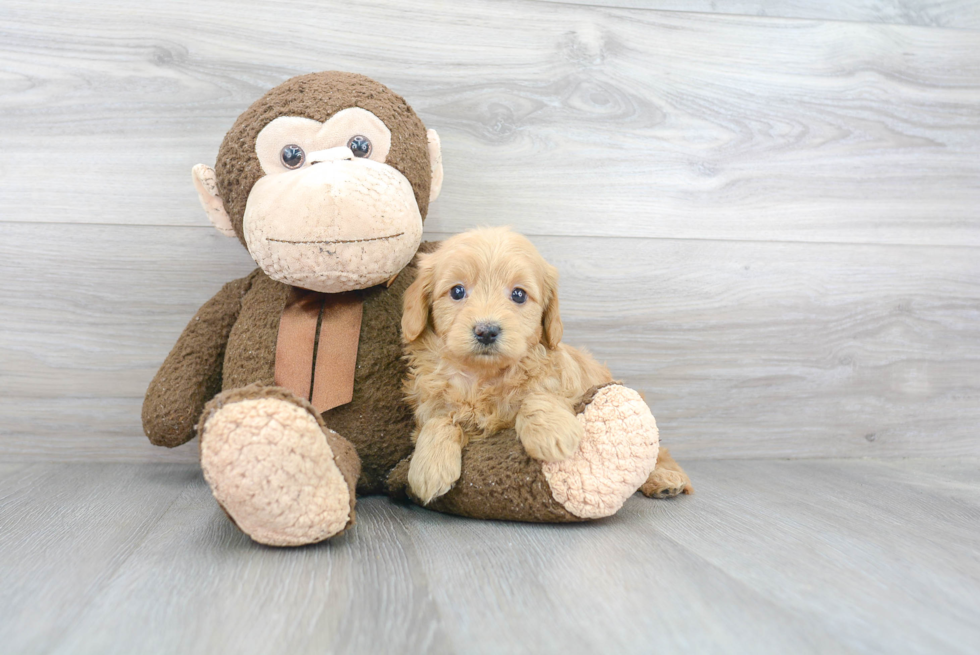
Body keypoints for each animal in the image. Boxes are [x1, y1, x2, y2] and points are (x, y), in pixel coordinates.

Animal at [404, 228, 616, 504]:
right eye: (457, 291)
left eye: (518, 294)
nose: (486, 331)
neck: (482, 376)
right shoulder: (430, 405)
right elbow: (439, 420)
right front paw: (430, 467)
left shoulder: (561, 383)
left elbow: (537, 395)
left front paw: (552, 432)